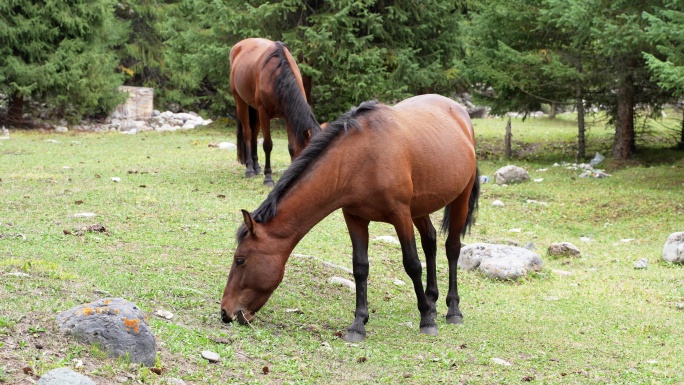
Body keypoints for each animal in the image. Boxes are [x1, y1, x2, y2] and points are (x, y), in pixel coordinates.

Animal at [222, 94, 478, 340]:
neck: (362, 159)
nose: (225, 312)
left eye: (240, 260)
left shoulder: (400, 215)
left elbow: (412, 264)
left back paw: (452, 309)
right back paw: (432, 300)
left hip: (459, 199)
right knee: (430, 241)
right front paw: (358, 324)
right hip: (420, 208)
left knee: (452, 248)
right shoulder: (355, 217)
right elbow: (360, 267)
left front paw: (426, 320)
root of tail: (460, 112)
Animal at [228, 38, 322, 186]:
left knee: (254, 134)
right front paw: (268, 177)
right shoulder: (264, 113)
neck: (278, 77)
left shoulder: (288, 116)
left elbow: (291, 147)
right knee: (248, 133)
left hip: (255, 109)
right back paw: (250, 169)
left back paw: (257, 167)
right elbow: (267, 145)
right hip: (241, 102)